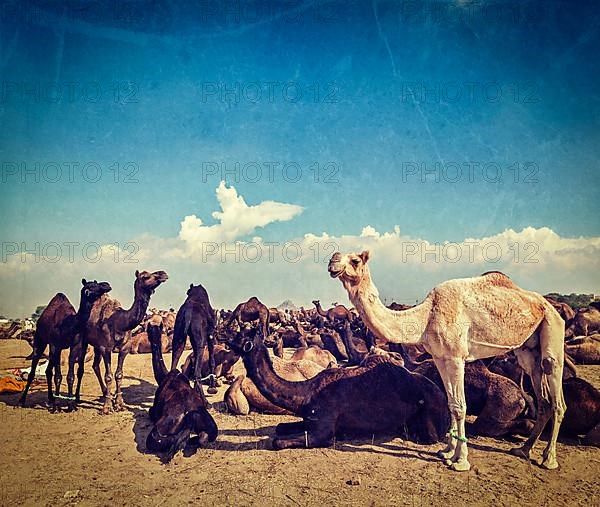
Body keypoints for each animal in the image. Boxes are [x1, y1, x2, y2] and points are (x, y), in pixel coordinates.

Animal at [19, 280, 112, 410]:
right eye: (92, 286)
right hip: (40, 340)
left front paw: (70, 405)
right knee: (34, 371)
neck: (69, 325)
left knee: (49, 371)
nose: (107, 285)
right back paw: (23, 401)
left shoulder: (75, 345)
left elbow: (70, 376)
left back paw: (52, 398)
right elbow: (58, 376)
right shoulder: (56, 345)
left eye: (97, 282)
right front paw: (58, 406)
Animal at [84, 268, 169, 414]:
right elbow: (109, 376)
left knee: (95, 365)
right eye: (145, 276)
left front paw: (119, 404)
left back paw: (105, 392)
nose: (163, 273)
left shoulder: (125, 348)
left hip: (96, 346)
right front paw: (107, 407)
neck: (119, 321)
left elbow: (119, 374)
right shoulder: (106, 348)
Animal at [146, 322, 218, 460]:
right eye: (153, 331)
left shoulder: (154, 409)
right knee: (202, 437)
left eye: (149, 331)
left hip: (158, 431)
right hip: (212, 427)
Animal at [227, 326, 448, 448]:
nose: (223, 336)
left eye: (239, 336)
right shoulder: (309, 420)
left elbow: (278, 441)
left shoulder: (323, 430)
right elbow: (280, 428)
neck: (306, 394)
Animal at [328, 252, 568, 474]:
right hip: (528, 351)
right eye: (336, 256)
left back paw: (549, 459)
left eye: (355, 260)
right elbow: (451, 403)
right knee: (543, 397)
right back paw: (523, 450)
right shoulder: (440, 357)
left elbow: (460, 407)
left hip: (553, 329)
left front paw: (461, 461)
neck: (426, 317)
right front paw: (447, 451)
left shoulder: (455, 357)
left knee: (556, 394)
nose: (332, 261)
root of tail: (549, 306)